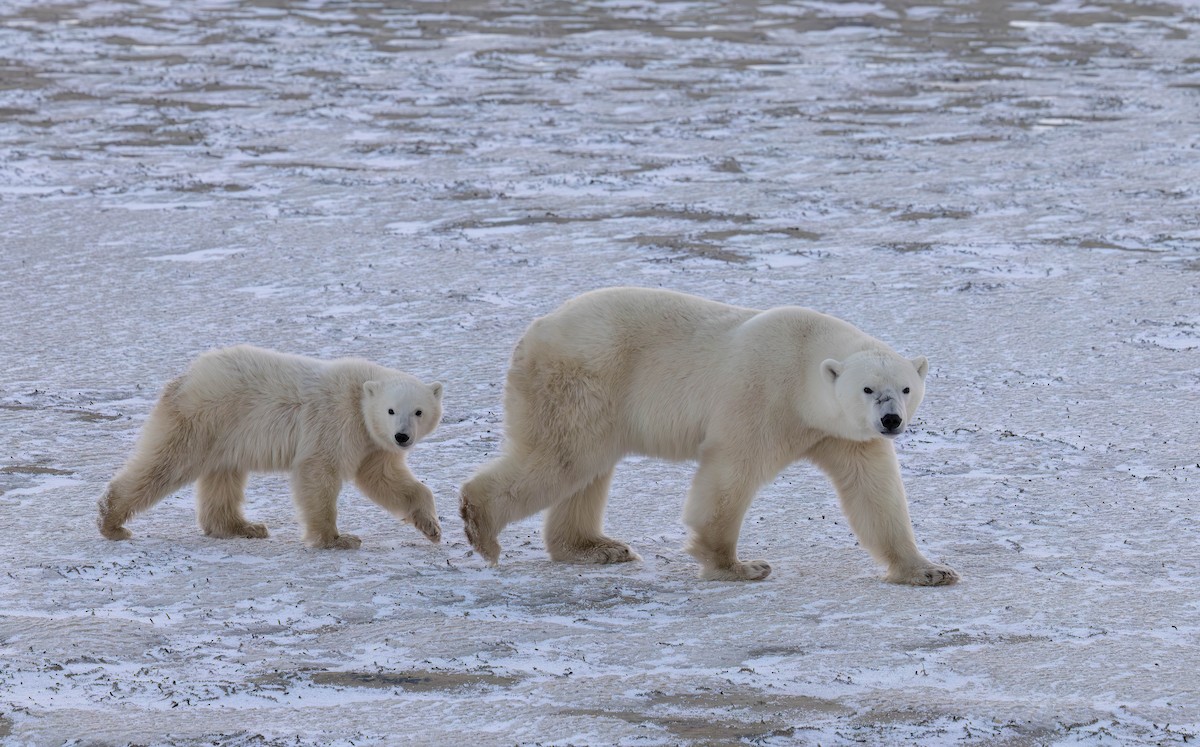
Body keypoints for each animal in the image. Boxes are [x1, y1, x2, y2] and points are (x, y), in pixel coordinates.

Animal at [98, 344, 444, 549]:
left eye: (418, 411)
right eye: (390, 410)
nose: (402, 437)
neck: (358, 395)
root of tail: (184, 378)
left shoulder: (372, 442)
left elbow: (384, 479)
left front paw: (431, 526)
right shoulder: (336, 421)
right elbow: (318, 471)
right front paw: (337, 538)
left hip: (225, 434)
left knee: (223, 477)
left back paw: (244, 526)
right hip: (204, 418)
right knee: (167, 462)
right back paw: (111, 521)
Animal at [460, 287, 958, 585]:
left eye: (905, 388)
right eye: (868, 388)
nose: (891, 420)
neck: (803, 365)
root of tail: (534, 331)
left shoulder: (842, 434)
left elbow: (875, 493)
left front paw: (930, 570)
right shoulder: (762, 396)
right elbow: (731, 472)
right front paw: (739, 565)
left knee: (586, 468)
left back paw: (597, 547)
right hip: (583, 380)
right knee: (562, 457)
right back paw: (481, 526)